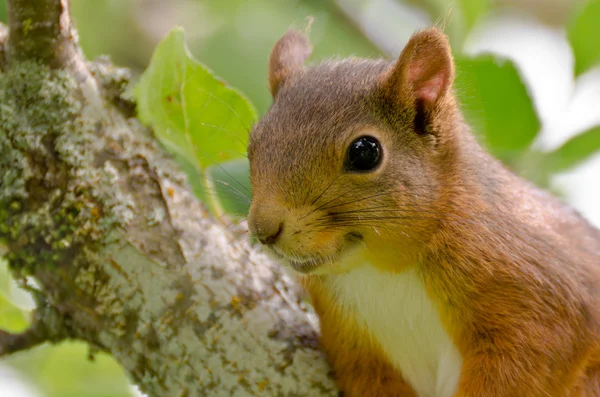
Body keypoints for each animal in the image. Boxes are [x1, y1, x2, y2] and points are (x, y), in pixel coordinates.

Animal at [245, 27, 600, 396]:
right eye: (252, 143)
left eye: (365, 152)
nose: (263, 229)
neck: (383, 269)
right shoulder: (356, 347)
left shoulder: (542, 300)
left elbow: (522, 367)